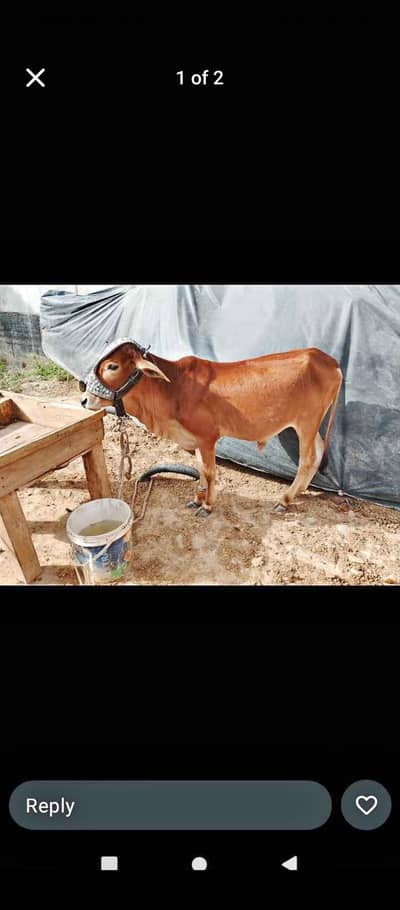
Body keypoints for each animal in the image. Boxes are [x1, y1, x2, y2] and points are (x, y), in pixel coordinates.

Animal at [81, 342, 343, 517]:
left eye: (112, 366)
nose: (83, 399)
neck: (174, 388)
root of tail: (327, 360)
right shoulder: (195, 440)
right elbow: (199, 468)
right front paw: (197, 499)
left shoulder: (207, 438)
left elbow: (208, 471)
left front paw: (207, 505)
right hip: (313, 425)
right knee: (317, 454)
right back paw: (299, 491)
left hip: (307, 422)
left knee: (307, 460)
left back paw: (285, 499)